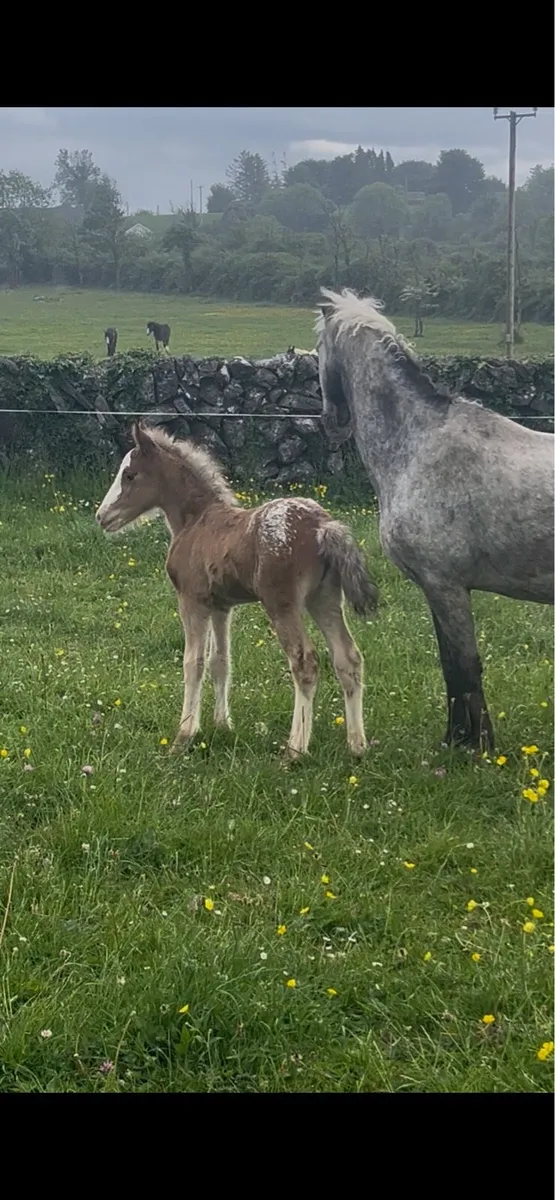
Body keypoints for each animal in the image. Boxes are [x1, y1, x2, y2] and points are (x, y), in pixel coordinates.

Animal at [95, 422, 378, 759]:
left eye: (129, 475)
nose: (102, 517)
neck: (196, 519)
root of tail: (323, 526)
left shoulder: (191, 601)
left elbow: (193, 663)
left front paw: (183, 737)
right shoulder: (221, 605)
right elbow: (220, 662)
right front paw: (222, 725)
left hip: (282, 604)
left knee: (304, 662)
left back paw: (295, 750)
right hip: (324, 599)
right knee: (348, 658)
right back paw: (357, 746)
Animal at [316, 286, 554, 752]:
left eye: (317, 348)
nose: (330, 422)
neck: (418, 442)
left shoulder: (447, 587)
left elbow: (463, 666)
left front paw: (474, 746)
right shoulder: (435, 589)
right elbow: (449, 665)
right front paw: (457, 738)